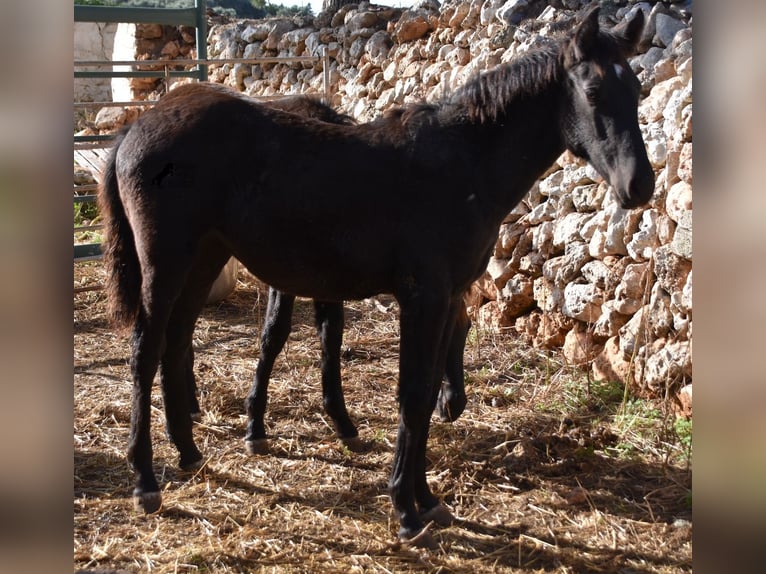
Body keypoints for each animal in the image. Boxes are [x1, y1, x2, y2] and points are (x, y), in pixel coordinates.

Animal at [100, 7, 656, 548]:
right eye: (592, 91)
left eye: (636, 89)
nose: (640, 186)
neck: (462, 163)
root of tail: (135, 128)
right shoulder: (423, 298)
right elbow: (411, 395)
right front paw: (406, 512)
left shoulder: (446, 299)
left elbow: (426, 395)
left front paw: (428, 500)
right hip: (165, 264)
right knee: (145, 350)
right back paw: (145, 480)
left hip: (205, 257)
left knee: (176, 340)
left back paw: (189, 453)